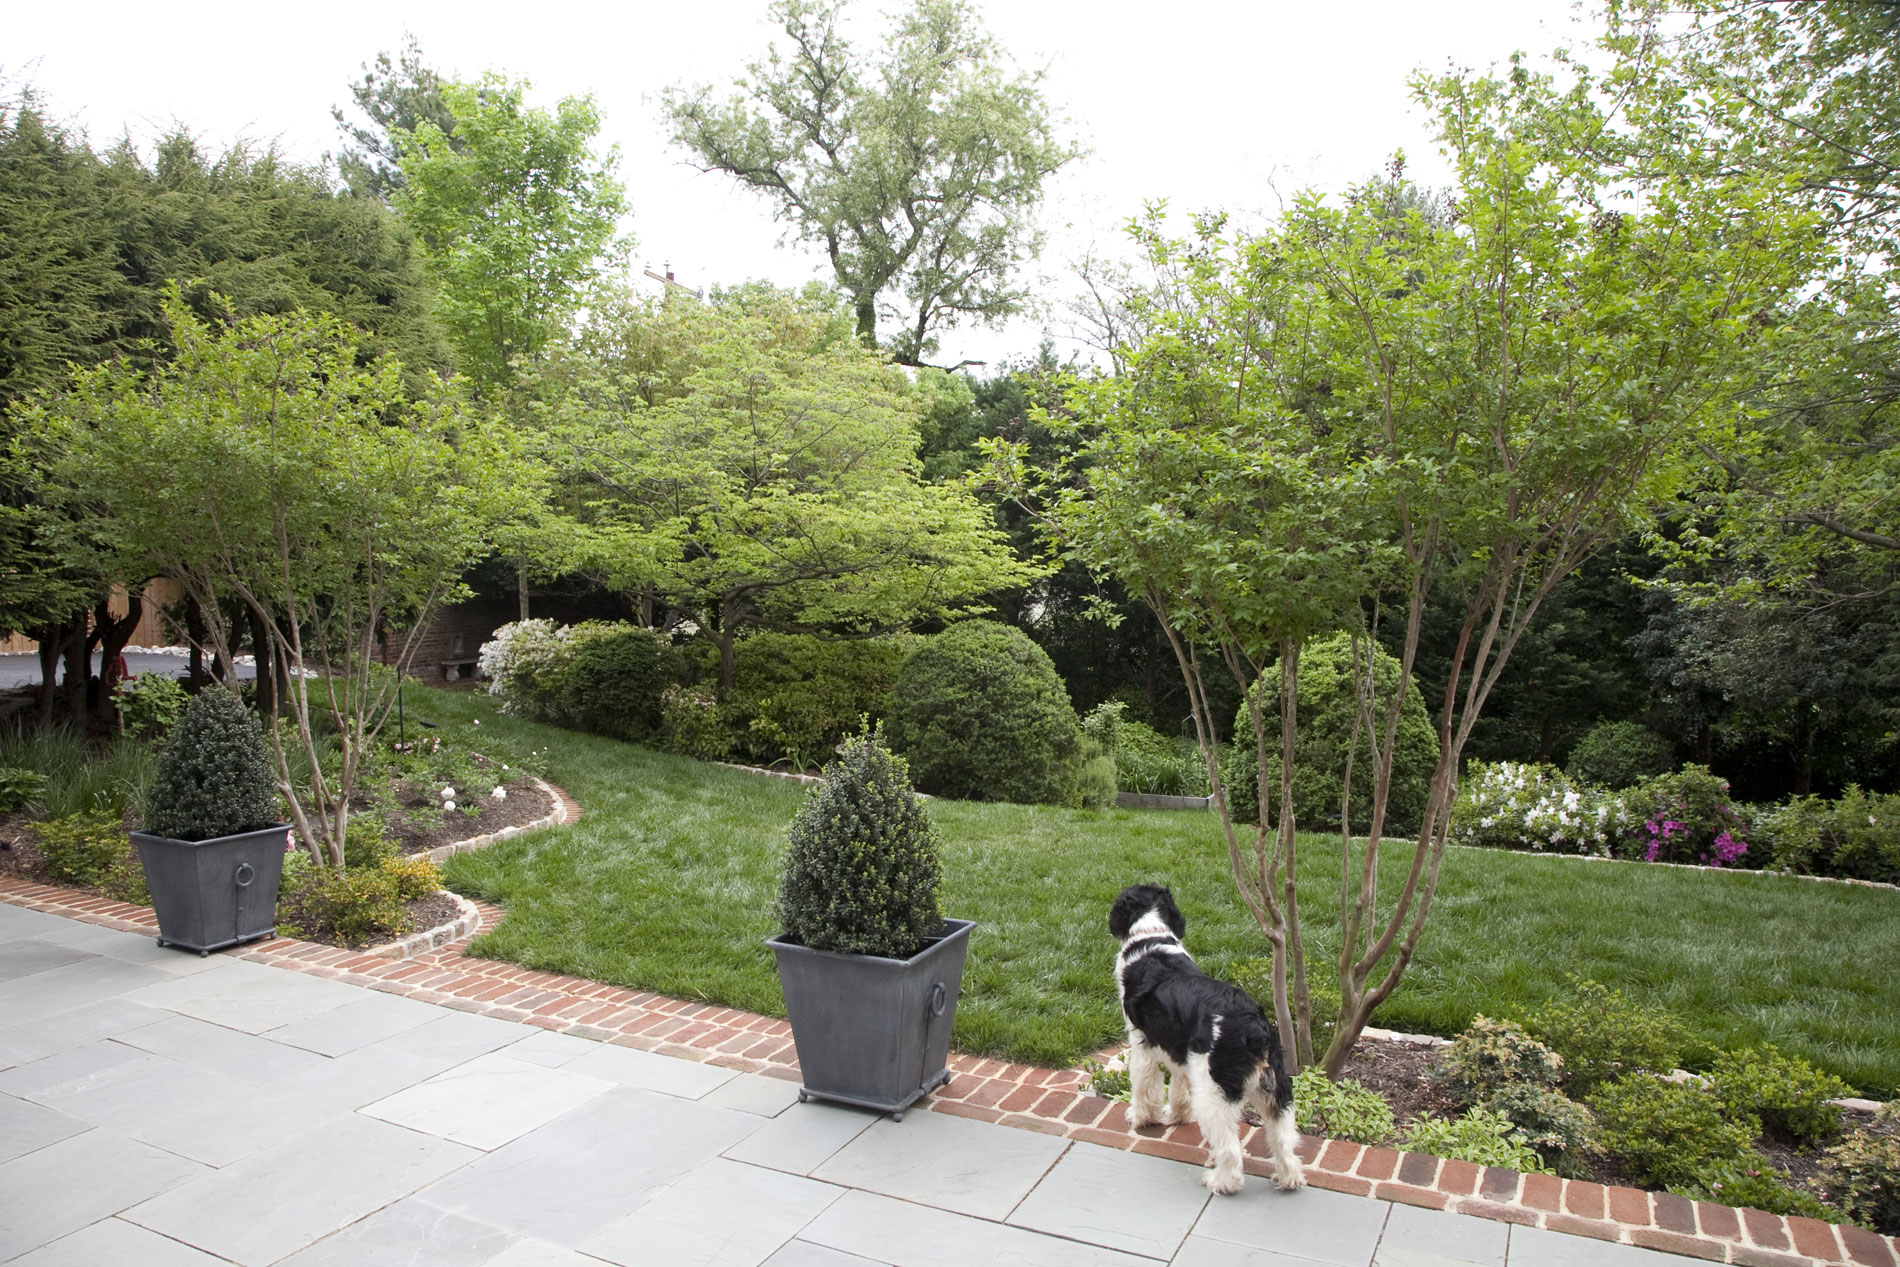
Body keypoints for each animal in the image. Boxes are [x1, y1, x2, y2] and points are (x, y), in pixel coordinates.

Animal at [1109, 888, 1307, 1192]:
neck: (1151, 934)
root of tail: (1254, 1029)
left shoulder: (1142, 1044)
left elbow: (1145, 1088)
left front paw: (1141, 1119)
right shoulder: (1183, 1055)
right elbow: (1179, 1088)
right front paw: (1178, 1116)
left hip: (1215, 1094)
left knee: (1230, 1148)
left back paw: (1221, 1182)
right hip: (1277, 1089)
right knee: (1283, 1139)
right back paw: (1289, 1179)